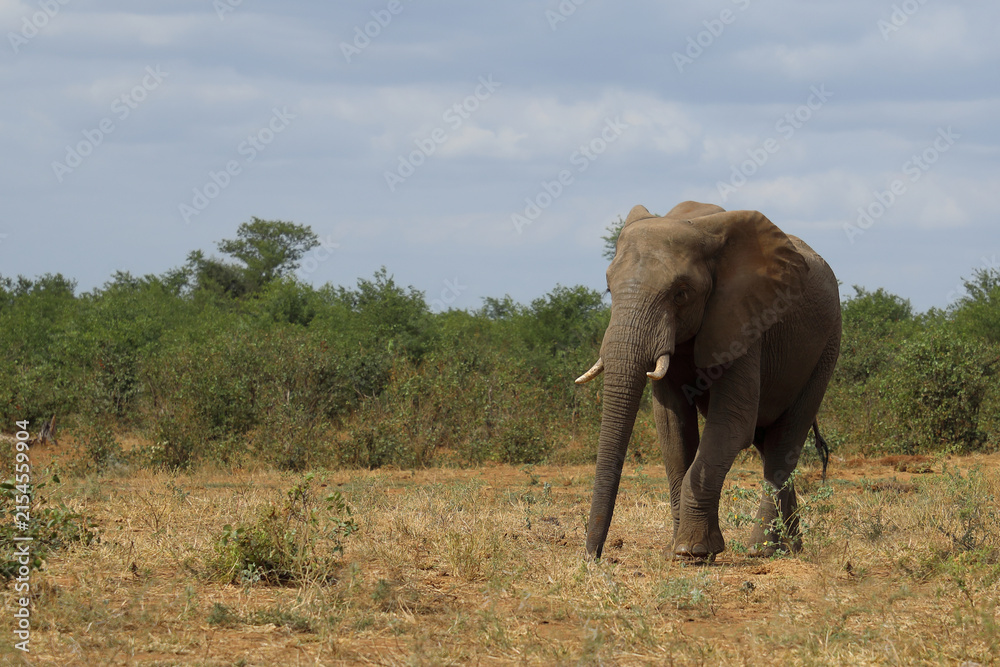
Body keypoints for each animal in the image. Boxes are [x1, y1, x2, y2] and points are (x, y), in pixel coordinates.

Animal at [576, 201, 841, 560]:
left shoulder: (745, 320)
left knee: (785, 440)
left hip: (825, 349)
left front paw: (694, 552)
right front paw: (675, 552)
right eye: (608, 288)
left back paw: (761, 550)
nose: (594, 556)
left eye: (681, 293)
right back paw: (790, 548)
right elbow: (672, 427)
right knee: (769, 443)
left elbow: (731, 425)